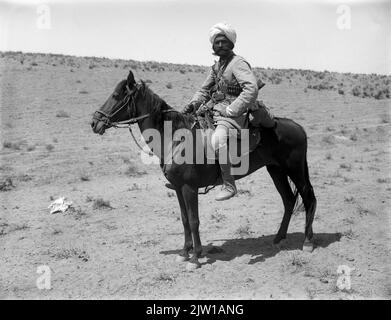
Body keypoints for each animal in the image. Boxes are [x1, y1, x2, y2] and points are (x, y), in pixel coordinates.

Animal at [90, 70, 316, 270]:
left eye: (116, 96)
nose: (94, 122)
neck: (175, 139)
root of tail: (298, 127)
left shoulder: (189, 188)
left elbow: (193, 220)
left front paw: (195, 258)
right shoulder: (178, 188)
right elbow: (184, 220)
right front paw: (184, 253)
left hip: (295, 170)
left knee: (308, 198)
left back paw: (308, 242)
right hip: (276, 171)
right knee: (289, 200)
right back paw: (279, 238)